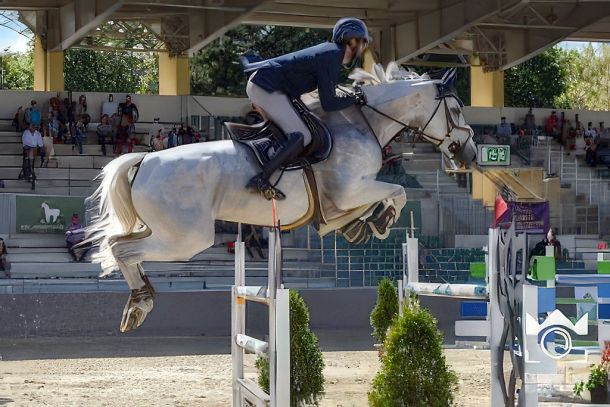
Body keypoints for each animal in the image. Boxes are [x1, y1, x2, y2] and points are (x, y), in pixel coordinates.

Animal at [85, 63, 476, 332]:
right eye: (456, 111)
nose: (469, 153)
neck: (361, 122)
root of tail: (143, 160)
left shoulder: (343, 196)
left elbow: (360, 209)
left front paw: (357, 228)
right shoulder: (350, 188)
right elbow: (397, 192)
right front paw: (380, 222)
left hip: (166, 231)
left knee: (120, 244)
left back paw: (139, 302)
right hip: (186, 239)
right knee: (123, 250)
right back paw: (140, 303)